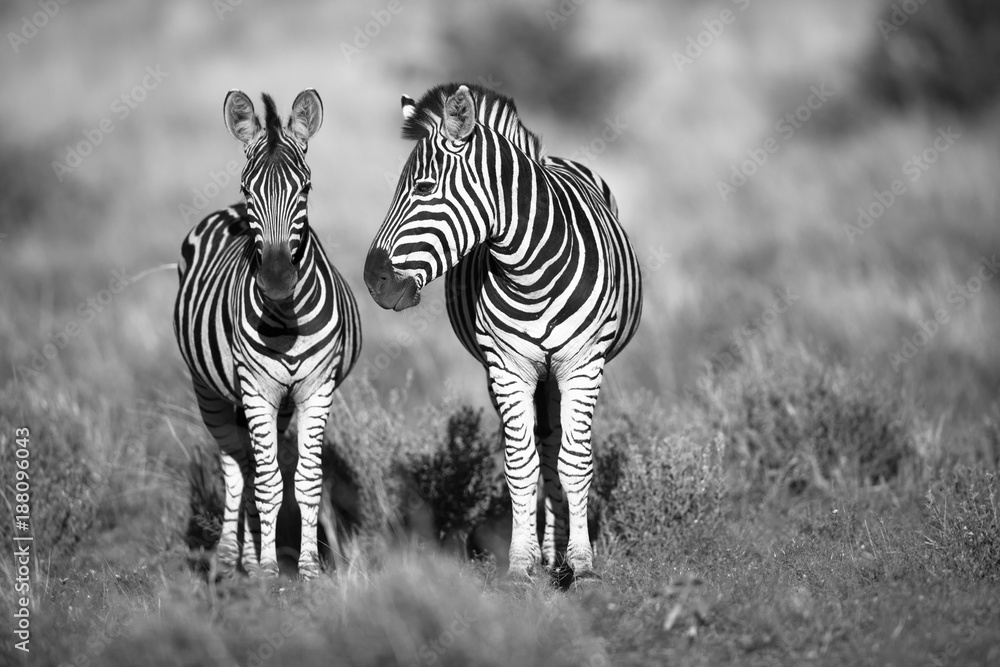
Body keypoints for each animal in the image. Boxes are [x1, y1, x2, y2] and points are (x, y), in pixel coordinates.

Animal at [174, 89, 361, 579]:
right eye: (247, 188)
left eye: (306, 188)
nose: (276, 281)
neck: (285, 320)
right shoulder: (256, 390)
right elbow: (267, 482)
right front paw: (269, 572)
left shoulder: (316, 388)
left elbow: (306, 480)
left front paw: (308, 570)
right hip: (211, 391)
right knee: (236, 466)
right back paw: (230, 560)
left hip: (278, 405)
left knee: (256, 465)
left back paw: (252, 555)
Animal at [363, 83, 642, 583]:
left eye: (424, 188)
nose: (373, 281)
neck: (532, 270)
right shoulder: (508, 368)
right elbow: (520, 463)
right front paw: (521, 562)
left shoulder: (582, 364)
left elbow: (575, 462)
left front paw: (583, 564)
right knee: (542, 445)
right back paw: (547, 551)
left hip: (560, 374)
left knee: (557, 446)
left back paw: (560, 551)